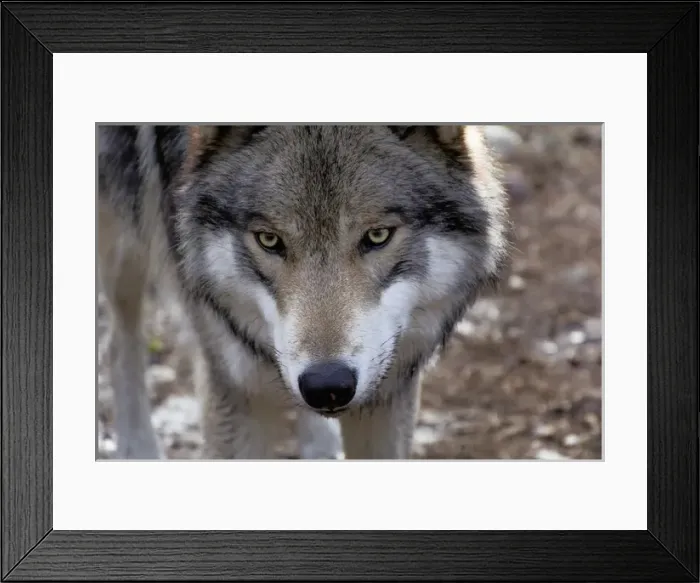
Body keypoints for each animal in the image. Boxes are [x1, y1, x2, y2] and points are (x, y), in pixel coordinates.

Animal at [97, 125, 509, 460]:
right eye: (269, 240)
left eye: (378, 235)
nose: (327, 386)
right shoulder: (234, 387)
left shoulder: (389, 387)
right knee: (120, 341)